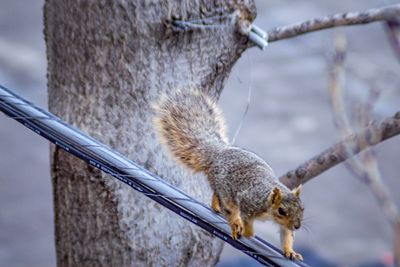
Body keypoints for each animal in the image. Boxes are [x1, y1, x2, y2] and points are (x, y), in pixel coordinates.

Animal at [152, 89, 304, 260]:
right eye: (282, 211)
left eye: (302, 208)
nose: (297, 226)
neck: (268, 205)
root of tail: (219, 152)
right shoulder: (249, 202)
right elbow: (247, 219)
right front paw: (248, 232)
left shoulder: (284, 226)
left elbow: (286, 235)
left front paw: (290, 251)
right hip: (226, 193)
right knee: (227, 205)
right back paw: (234, 221)